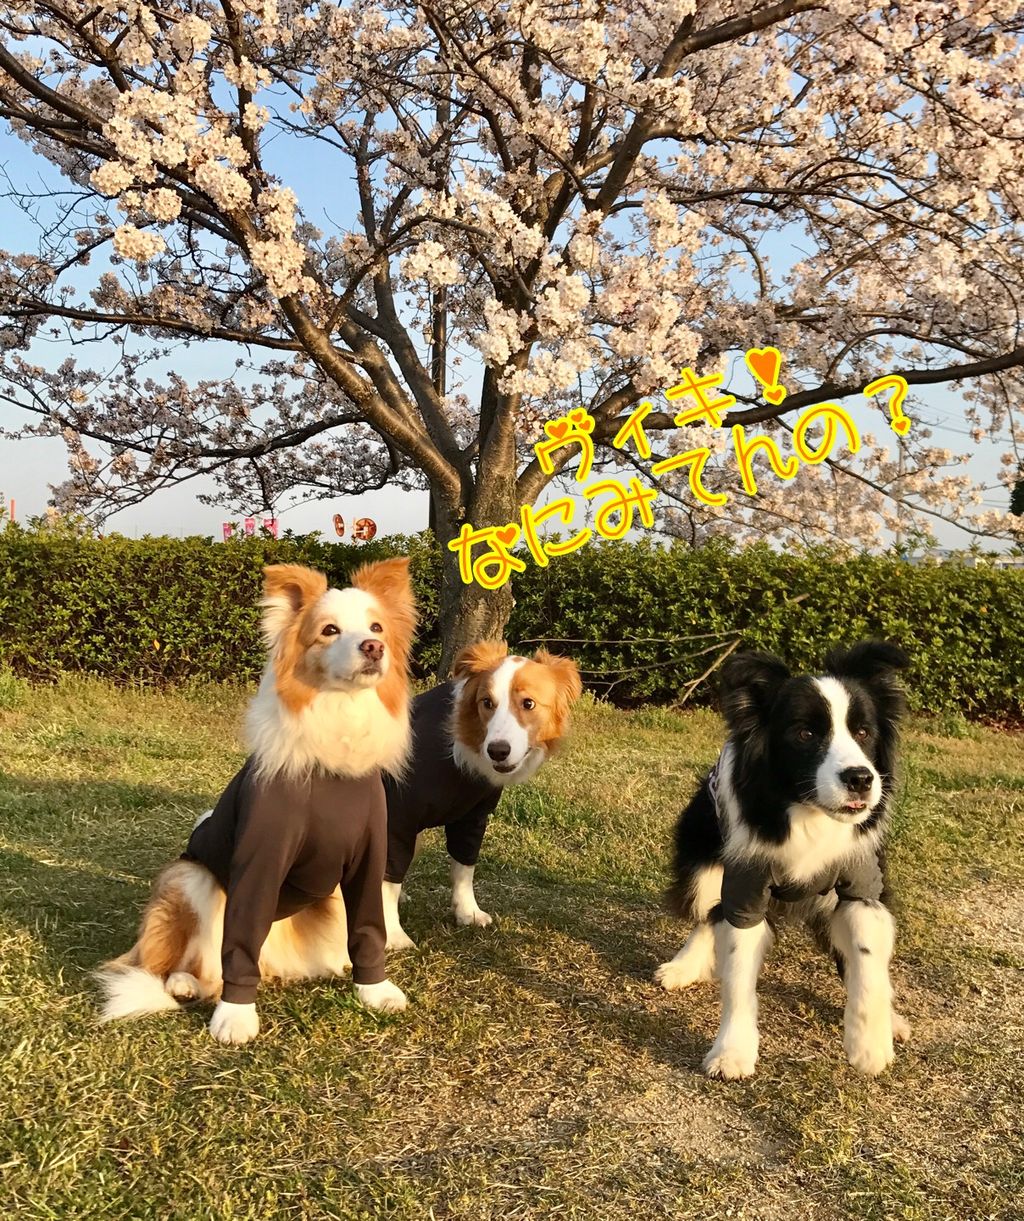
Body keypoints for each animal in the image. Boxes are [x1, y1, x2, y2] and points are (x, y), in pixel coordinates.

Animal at [95, 558, 416, 1044]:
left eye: (377, 626)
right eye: (329, 630)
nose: (374, 647)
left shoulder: (369, 857)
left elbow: (369, 927)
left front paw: (375, 990)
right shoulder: (259, 860)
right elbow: (239, 944)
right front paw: (235, 1016)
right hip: (190, 878)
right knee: (171, 964)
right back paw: (185, 983)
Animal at [381, 640, 582, 949]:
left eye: (528, 704)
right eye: (487, 703)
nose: (498, 750)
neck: (456, 749)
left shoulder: (473, 816)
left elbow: (464, 866)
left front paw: (467, 912)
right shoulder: (397, 816)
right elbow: (389, 879)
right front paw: (393, 935)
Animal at [655, 641, 911, 1079]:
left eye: (863, 732)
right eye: (805, 733)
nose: (861, 778)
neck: (809, 814)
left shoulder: (862, 881)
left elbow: (866, 957)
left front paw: (869, 1045)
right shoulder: (745, 883)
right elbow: (737, 970)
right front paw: (732, 1052)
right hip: (702, 859)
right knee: (708, 911)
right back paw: (683, 965)